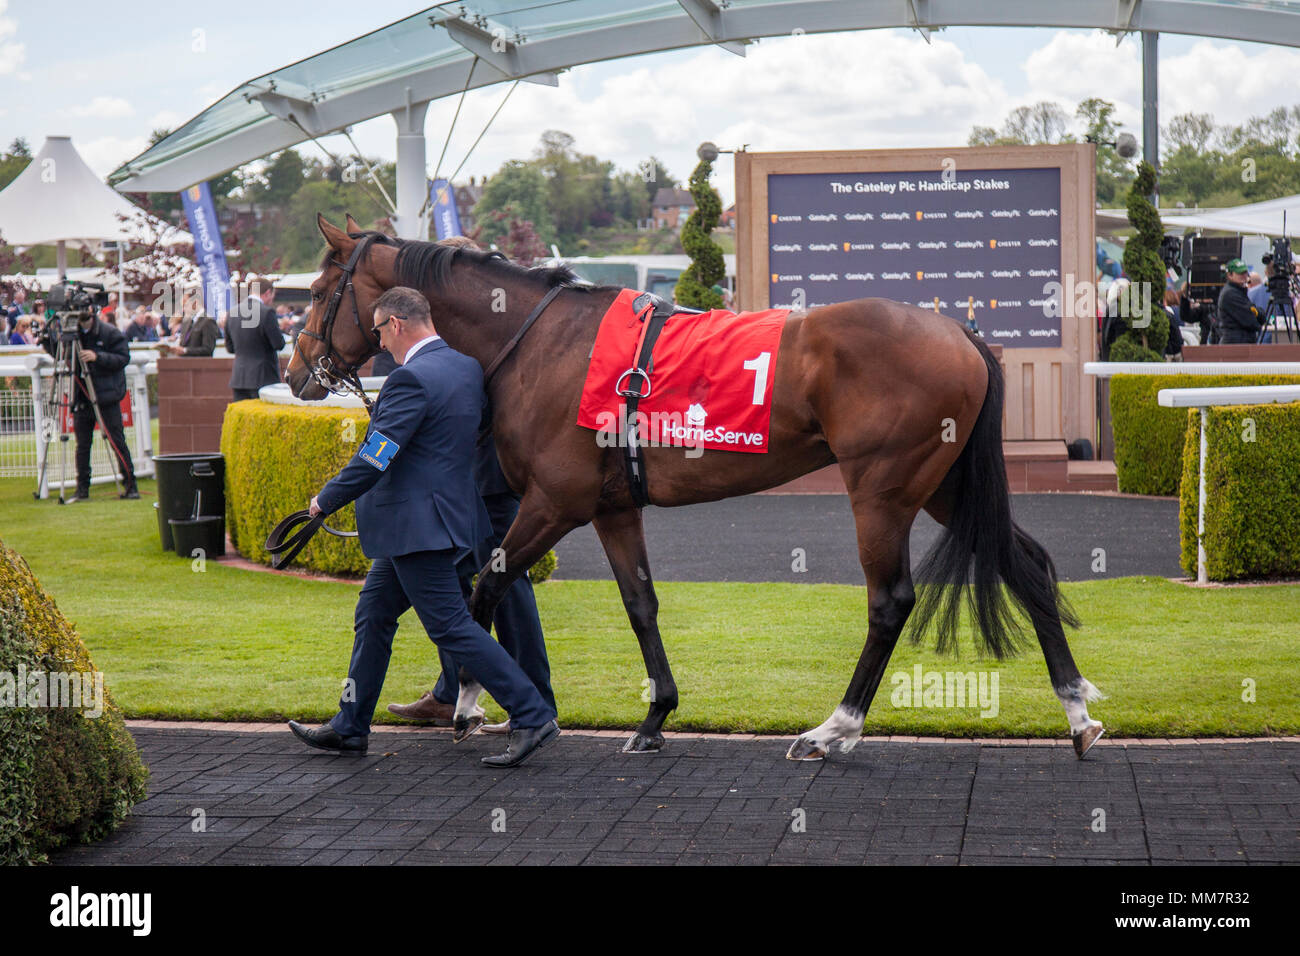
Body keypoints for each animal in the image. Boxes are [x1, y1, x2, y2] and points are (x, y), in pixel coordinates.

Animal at [284, 217, 1107, 764]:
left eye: (320, 289)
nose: (297, 373)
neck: (538, 341)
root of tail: (959, 334)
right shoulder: (613, 509)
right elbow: (640, 604)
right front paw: (654, 719)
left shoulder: (555, 503)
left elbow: (484, 586)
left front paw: (470, 706)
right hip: (943, 484)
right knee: (1026, 565)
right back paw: (1076, 713)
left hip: (882, 489)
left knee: (890, 602)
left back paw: (833, 729)